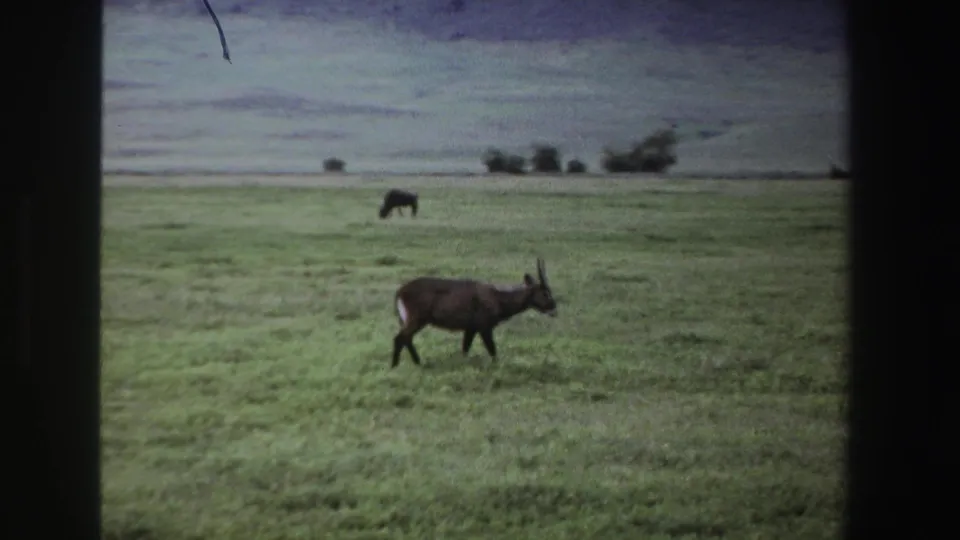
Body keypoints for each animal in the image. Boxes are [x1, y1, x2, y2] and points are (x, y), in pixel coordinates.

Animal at [391, 258, 557, 368]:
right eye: (545, 293)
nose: (554, 307)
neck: (498, 298)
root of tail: (400, 291)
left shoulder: (470, 329)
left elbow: (465, 349)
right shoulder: (484, 328)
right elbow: (492, 350)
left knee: (406, 339)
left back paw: (418, 362)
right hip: (417, 319)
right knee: (400, 338)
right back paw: (396, 366)